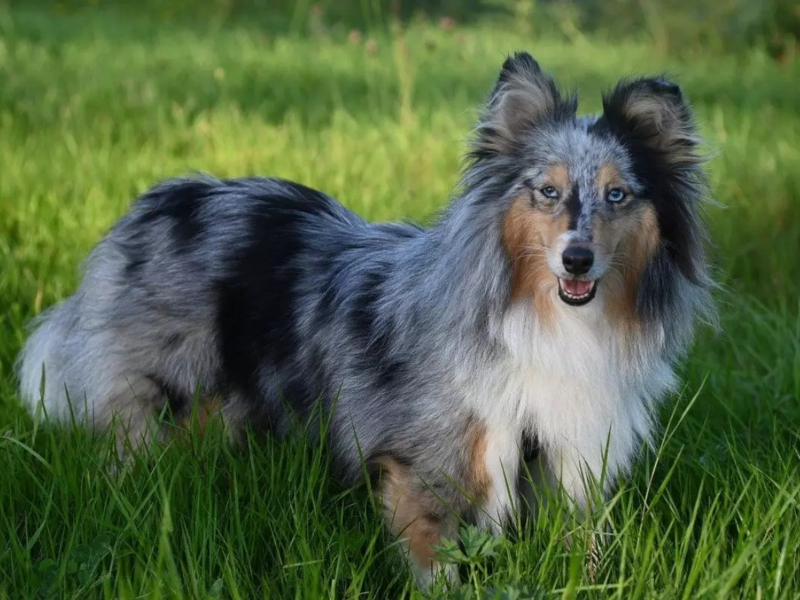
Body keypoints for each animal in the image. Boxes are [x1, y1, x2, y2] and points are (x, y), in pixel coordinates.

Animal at [15, 51, 712, 584]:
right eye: (547, 191)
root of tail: (154, 201)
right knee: (123, 459)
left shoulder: (569, 460)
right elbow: (439, 563)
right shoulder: (427, 466)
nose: (577, 259)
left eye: (618, 195)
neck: (544, 320)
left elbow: (583, 550)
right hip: (157, 399)